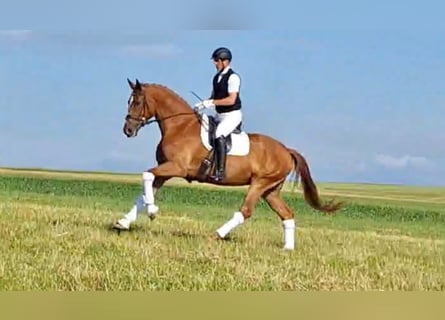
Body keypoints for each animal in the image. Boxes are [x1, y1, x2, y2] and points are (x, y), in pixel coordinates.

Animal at [112, 79, 342, 250]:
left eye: (137, 102)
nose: (128, 130)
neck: (179, 126)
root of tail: (286, 150)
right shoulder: (165, 170)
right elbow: (144, 193)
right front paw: (124, 222)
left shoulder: (177, 167)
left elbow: (146, 175)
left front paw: (152, 211)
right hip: (271, 190)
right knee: (287, 214)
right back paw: (288, 248)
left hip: (259, 184)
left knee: (245, 211)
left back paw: (216, 235)